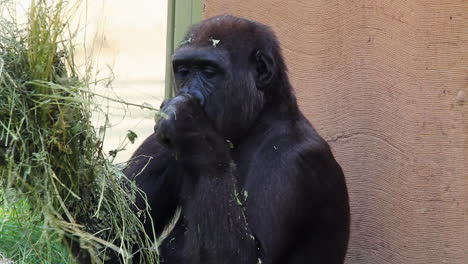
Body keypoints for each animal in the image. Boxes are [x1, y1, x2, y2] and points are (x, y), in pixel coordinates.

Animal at [125, 14, 352, 264]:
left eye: (209, 71)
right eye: (183, 70)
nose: (190, 93)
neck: (259, 121)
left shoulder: (294, 158)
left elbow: (250, 256)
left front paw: (191, 129)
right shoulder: (156, 145)